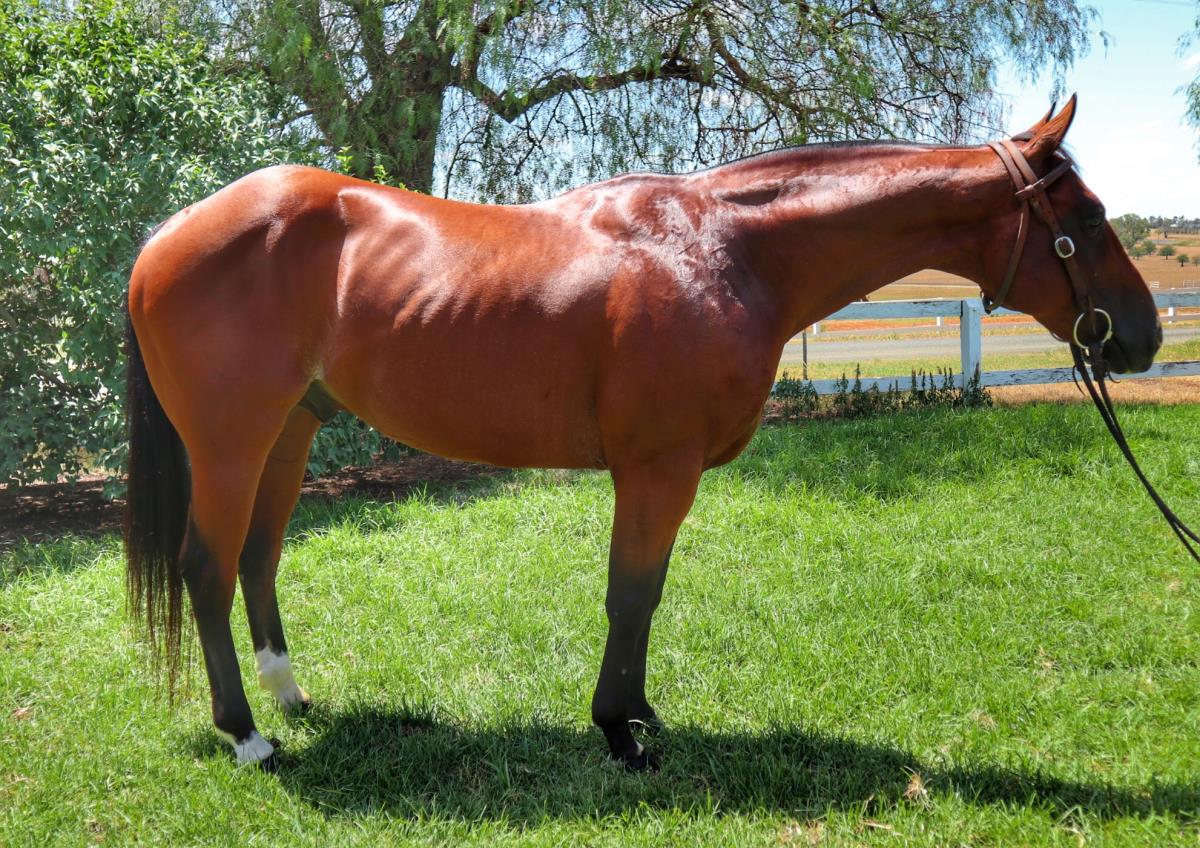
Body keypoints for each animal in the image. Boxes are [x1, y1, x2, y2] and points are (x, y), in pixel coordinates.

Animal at [125, 96, 1161, 769]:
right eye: (1086, 216)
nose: (1142, 336)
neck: (724, 250)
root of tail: (164, 235)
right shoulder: (658, 470)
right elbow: (631, 597)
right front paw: (620, 734)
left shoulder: (662, 474)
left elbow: (646, 599)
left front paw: (639, 716)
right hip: (231, 444)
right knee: (208, 568)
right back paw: (248, 736)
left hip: (290, 434)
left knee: (259, 559)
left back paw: (289, 697)